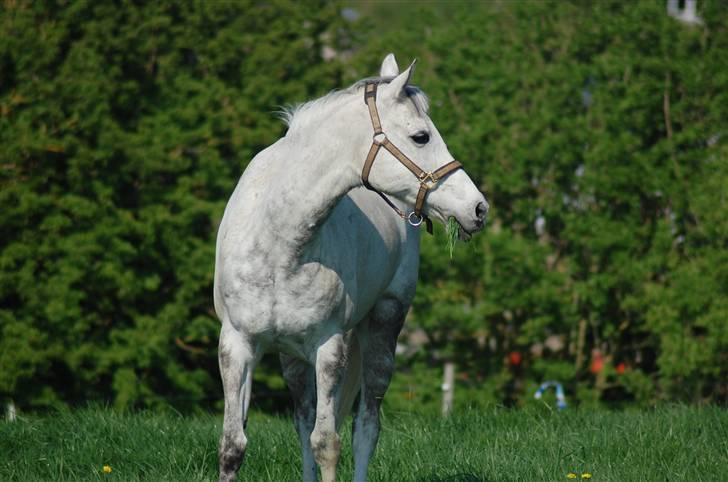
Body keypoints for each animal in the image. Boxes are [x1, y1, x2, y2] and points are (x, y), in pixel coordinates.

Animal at [215, 54, 490, 480]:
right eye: (421, 137)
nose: (478, 208)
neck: (280, 242)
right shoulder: (236, 344)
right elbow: (234, 446)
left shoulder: (329, 347)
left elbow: (327, 444)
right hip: (292, 358)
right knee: (302, 421)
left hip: (384, 326)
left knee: (366, 428)